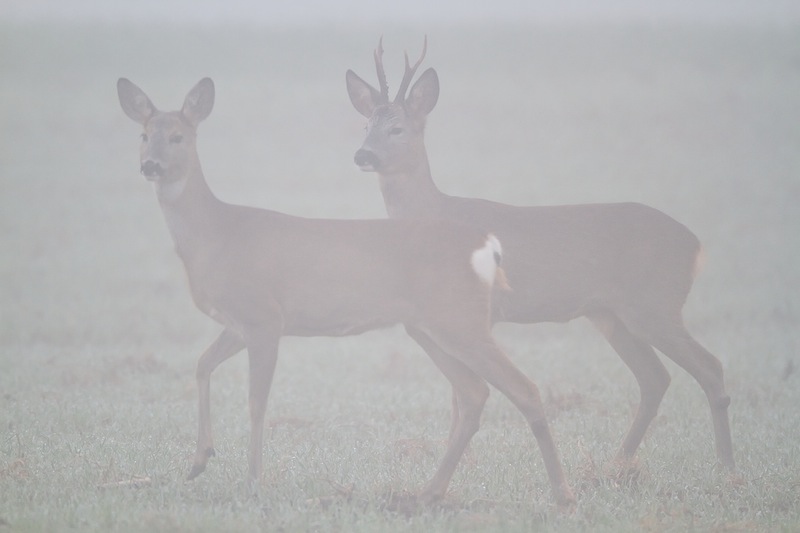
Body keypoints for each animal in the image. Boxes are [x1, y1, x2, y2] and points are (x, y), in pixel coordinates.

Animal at [115, 78, 576, 502]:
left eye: (179, 137)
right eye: (144, 134)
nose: (151, 165)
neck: (216, 235)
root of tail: (486, 246)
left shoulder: (264, 317)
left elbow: (256, 401)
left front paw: (252, 483)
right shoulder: (238, 323)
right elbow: (201, 364)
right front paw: (198, 460)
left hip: (459, 321)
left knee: (523, 389)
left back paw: (562, 494)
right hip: (434, 327)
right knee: (474, 392)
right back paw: (427, 494)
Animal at [346, 39, 736, 476]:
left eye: (397, 128)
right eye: (365, 126)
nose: (363, 155)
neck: (436, 213)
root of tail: (695, 244)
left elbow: (460, 394)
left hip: (656, 304)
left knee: (709, 367)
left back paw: (726, 466)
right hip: (611, 314)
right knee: (655, 378)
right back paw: (617, 462)